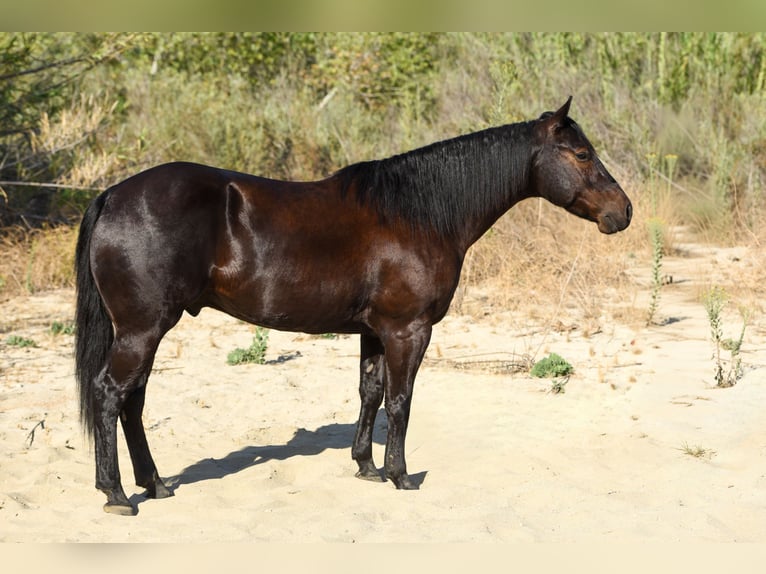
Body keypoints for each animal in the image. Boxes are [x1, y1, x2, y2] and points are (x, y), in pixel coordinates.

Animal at [74, 96, 632, 515]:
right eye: (582, 154)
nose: (622, 212)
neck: (418, 215)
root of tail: (113, 195)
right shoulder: (409, 330)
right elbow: (401, 400)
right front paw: (400, 475)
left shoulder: (375, 331)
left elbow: (370, 392)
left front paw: (365, 466)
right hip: (143, 329)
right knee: (110, 395)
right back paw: (117, 493)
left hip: (145, 331)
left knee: (133, 402)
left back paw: (155, 484)